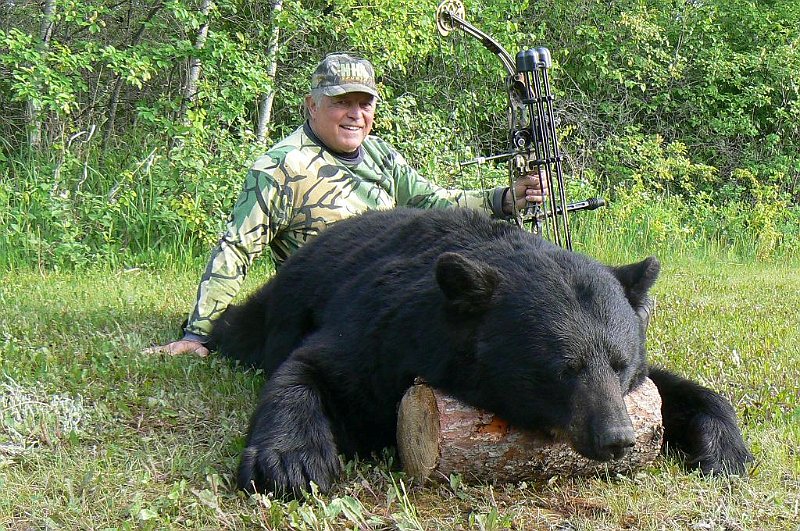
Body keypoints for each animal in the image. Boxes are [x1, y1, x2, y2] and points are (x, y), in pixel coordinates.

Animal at [210, 207, 752, 496]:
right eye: (565, 368)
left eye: (620, 365)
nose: (617, 437)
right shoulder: (378, 332)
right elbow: (309, 367)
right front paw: (291, 463)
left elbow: (675, 387)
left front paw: (725, 451)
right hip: (283, 297)